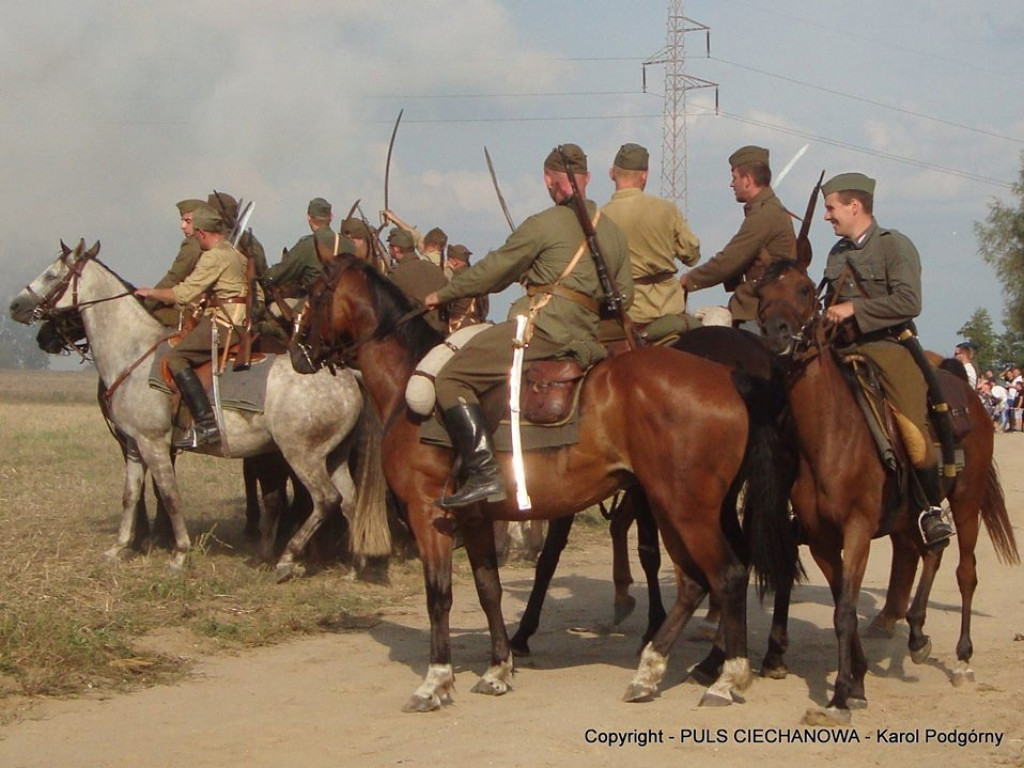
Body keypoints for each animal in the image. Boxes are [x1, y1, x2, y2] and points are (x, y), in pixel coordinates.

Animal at [9, 240, 387, 577]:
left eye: (52, 274)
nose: (15, 306)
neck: (133, 352)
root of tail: (347, 376)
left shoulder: (154, 445)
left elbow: (170, 496)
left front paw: (179, 554)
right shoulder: (133, 446)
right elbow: (130, 495)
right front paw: (118, 548)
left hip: (301, 455)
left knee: (325, 500)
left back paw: (286, 559)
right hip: (333, 456)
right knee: (350, 502)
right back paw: (355, 565)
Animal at [292, 260, 794, 716]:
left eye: (314, 294)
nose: (297, 354)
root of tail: (730, 377)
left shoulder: (427, 514)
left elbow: (440, 595)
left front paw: (436, 682)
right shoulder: (475, 520)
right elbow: (488, 590)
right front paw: (498, 669)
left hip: (686, 509)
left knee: (727, 575)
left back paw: (725, 678)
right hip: (671, 507)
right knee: (694, 582)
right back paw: (651, 672)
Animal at [753, 259, 1015, 729]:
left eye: (804, 289)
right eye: (760, 293)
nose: (777, 335)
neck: (831, 434)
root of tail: (971, 398)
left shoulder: (857, 530)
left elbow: (844, 610)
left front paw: (840, 694)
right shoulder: (822, 540)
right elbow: (842, 604)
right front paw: (856, 681)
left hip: (966, 504)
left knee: (965, 572)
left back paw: (962, 659)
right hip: (910, 516)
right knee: (929, 551)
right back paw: (915, 631)